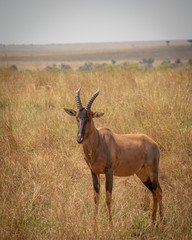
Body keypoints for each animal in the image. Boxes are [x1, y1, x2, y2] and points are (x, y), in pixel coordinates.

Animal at [64, 87, 164, 225]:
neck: (99, 140)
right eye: (77, 117)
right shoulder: (94, 172)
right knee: (153, 192)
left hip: (152, 171)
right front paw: (94, 225)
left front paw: (110, 226)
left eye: (90, 117)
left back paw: (161, 222)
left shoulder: (109, 171)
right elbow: (96, 198)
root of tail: (154, 143)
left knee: (159, 191)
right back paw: (152, 223)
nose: (79, 138)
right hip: (142, 173)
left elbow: (108, 198)